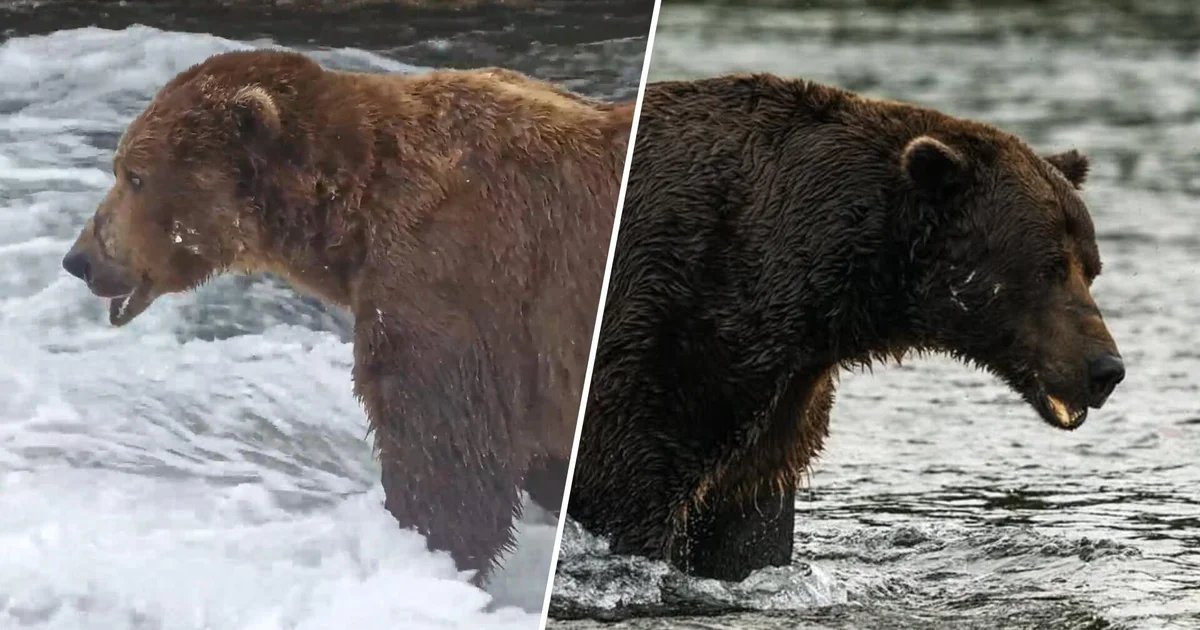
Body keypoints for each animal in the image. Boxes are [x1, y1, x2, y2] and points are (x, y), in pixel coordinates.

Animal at [60, 50, 634, 581]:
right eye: (120, 167)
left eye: (134, 175)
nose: (79, 259)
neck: (351, 215)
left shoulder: (454, 281)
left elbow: (443, 452)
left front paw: (425, 552)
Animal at [564, 74, 1125, 582]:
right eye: (1049, 268)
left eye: (1092, 268)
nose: (1105, 368)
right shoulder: (668, 340)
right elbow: (629, 491)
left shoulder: (779, 408)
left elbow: (749, 526)